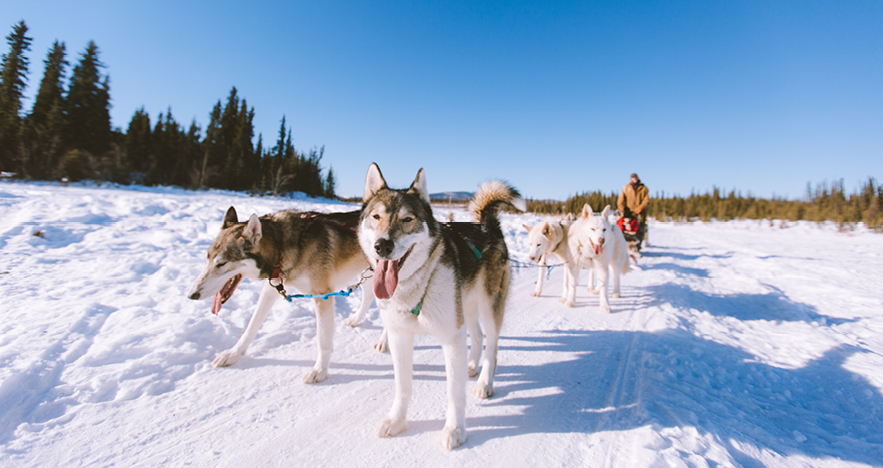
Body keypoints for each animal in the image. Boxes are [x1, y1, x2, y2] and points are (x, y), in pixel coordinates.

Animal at [188, 207, 374, 382]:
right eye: (207, 258)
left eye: (221, 263)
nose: (191, 295)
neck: (282, 247)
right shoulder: (271, 288)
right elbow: (251, 326)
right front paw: (234, 354)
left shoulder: (322, 295)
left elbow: (323, 340)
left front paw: (320, 371)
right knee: (370, 297)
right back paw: (358, 322)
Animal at [360, 163, 524, 448]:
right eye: (376, 216)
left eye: (407, 219)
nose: (382, 246)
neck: (417, 284)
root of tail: (488, 226)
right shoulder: (400, 336)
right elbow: (403, 385)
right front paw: (397, 420)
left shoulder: (451, 338)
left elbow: (454, 391)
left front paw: (455, 430)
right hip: (465, 307)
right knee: (477, 336)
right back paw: (471, 366)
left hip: (488, 307)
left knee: (492, 346)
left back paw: (484, 382)